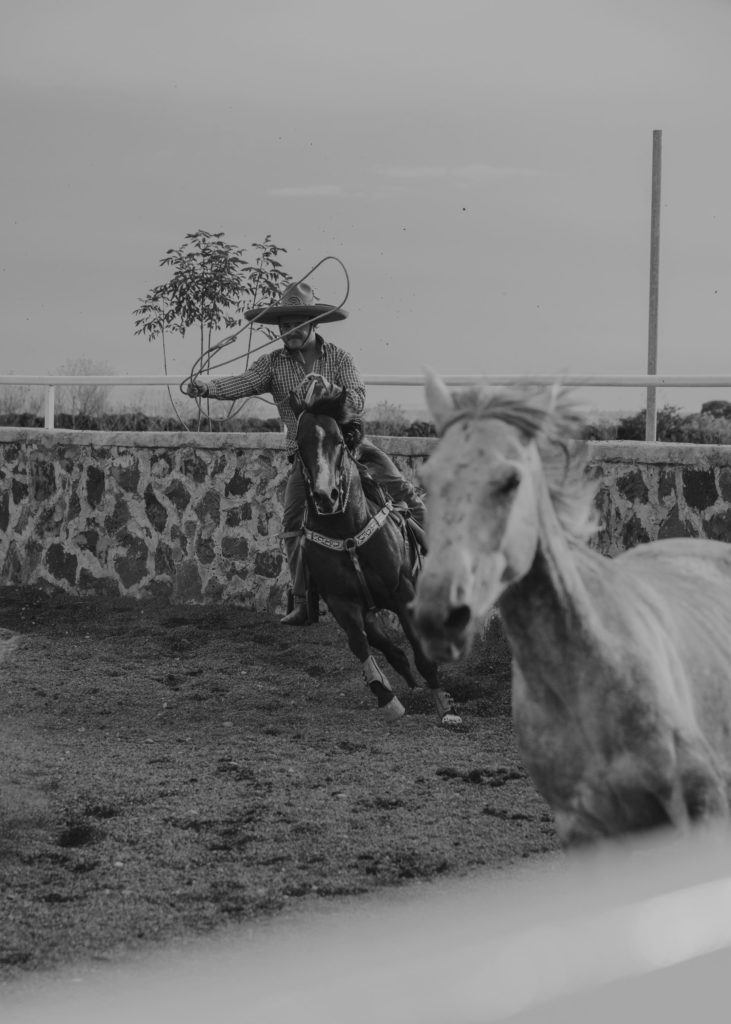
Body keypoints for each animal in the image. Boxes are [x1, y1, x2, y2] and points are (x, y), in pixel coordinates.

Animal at [288, 393, 454, 729]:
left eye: (339, 440)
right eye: (300, 444)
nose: (326, 496)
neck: (347, 533)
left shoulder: (403, 592)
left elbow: (421, 653)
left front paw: (444, 706)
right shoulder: (341, 601)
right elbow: (361, 644)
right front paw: (387, 698)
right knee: (387, 646)